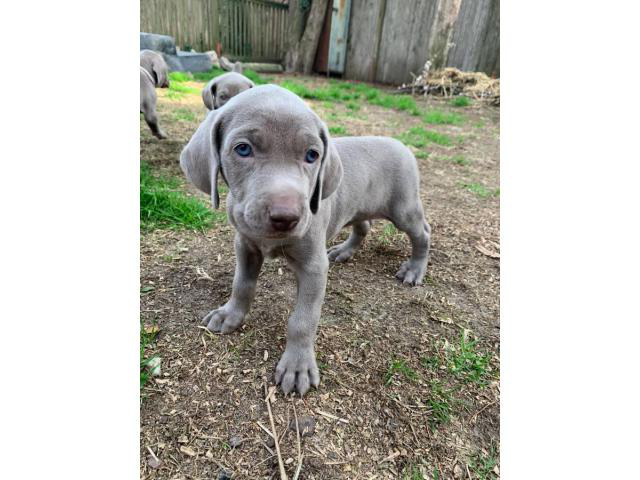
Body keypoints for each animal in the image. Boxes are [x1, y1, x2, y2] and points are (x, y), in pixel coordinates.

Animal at [178, 84, 432, 396]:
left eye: (312, 155)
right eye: (243, 149)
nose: (286, 217)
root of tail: (402, 144)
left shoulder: (313, 266)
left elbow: (302, 320)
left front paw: (297, 366)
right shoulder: (245, 246)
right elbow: (242, 285)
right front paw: (230, 314)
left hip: (403, 209)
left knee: (422, 232)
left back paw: (414, 269)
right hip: (358, 207)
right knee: (364, 226)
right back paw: (344, 251)